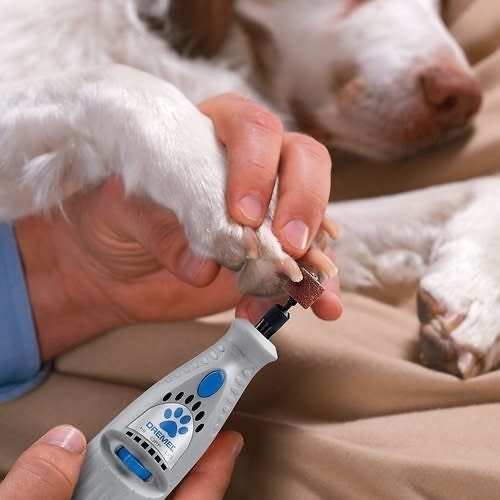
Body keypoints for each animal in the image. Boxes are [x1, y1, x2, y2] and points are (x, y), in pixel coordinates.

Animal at [0, 0, 496, 376]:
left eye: (445, 3)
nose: (462, 98)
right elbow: (110, 76)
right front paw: (212, 185)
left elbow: (478, 185)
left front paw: (471, 299)